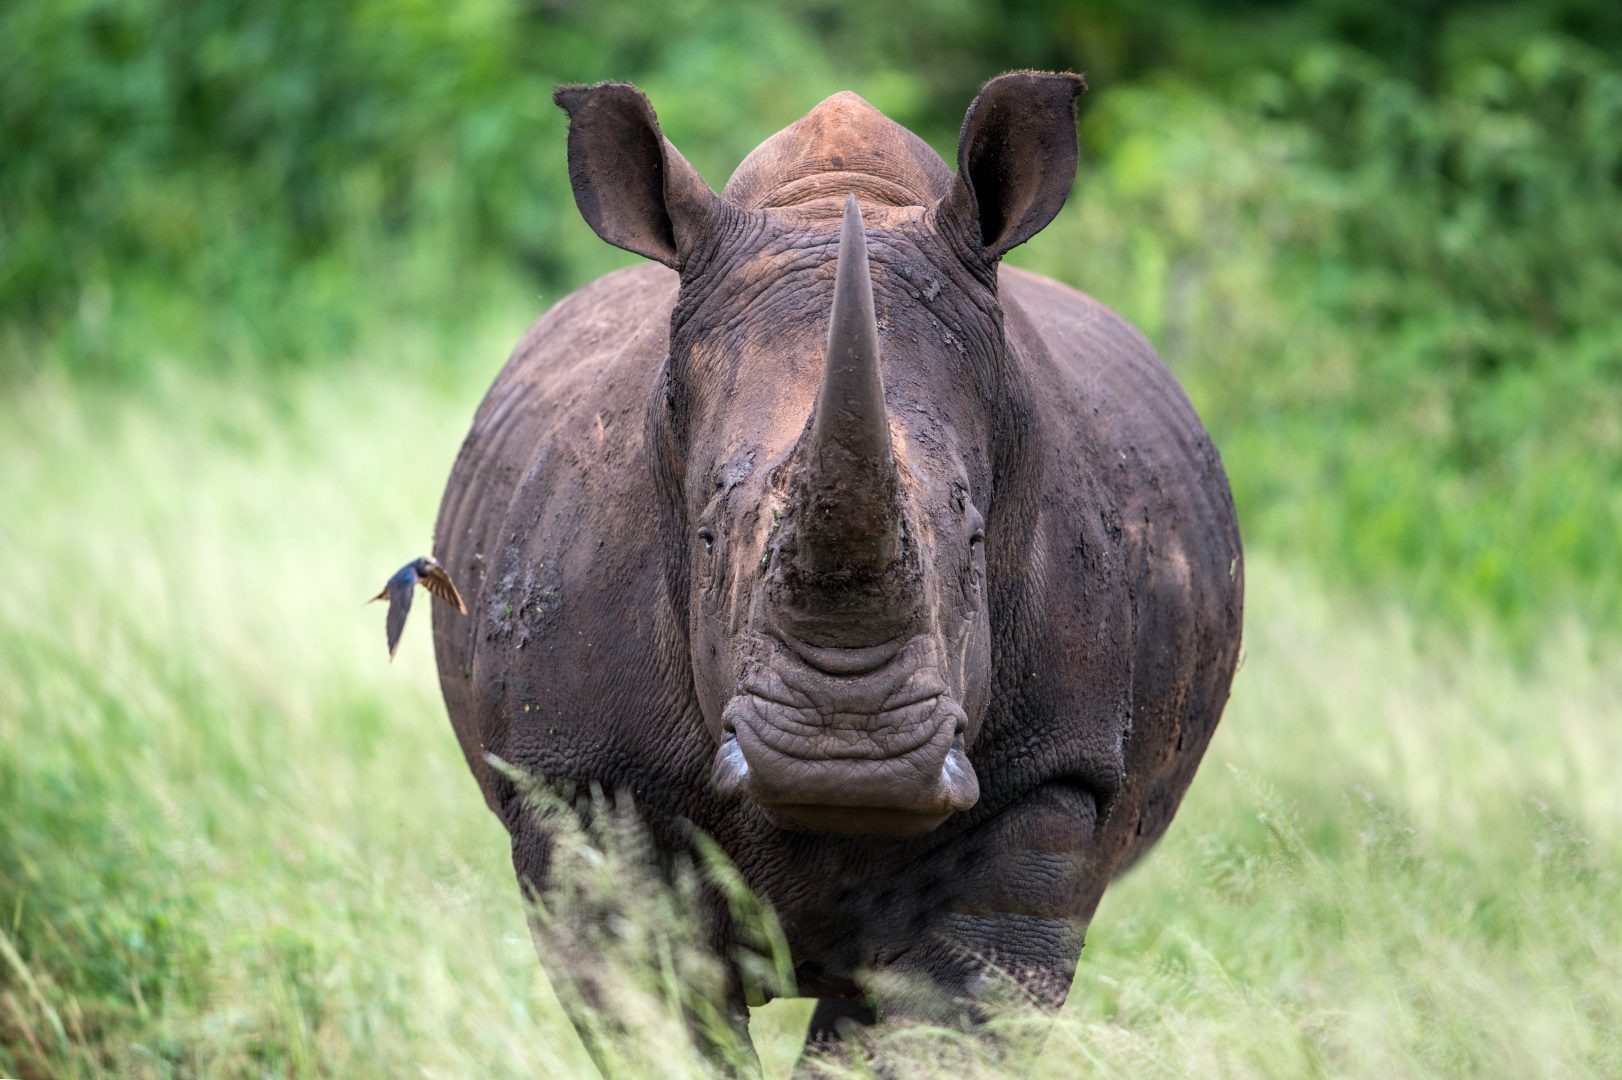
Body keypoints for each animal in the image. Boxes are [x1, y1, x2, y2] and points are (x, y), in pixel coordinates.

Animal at [431, 71, 1243, 1058]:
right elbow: (656, 1013)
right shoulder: (577, 779)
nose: (847, 756)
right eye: (707, 536)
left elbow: (943, 1020)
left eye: (975, 537)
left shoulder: (1052, 779)